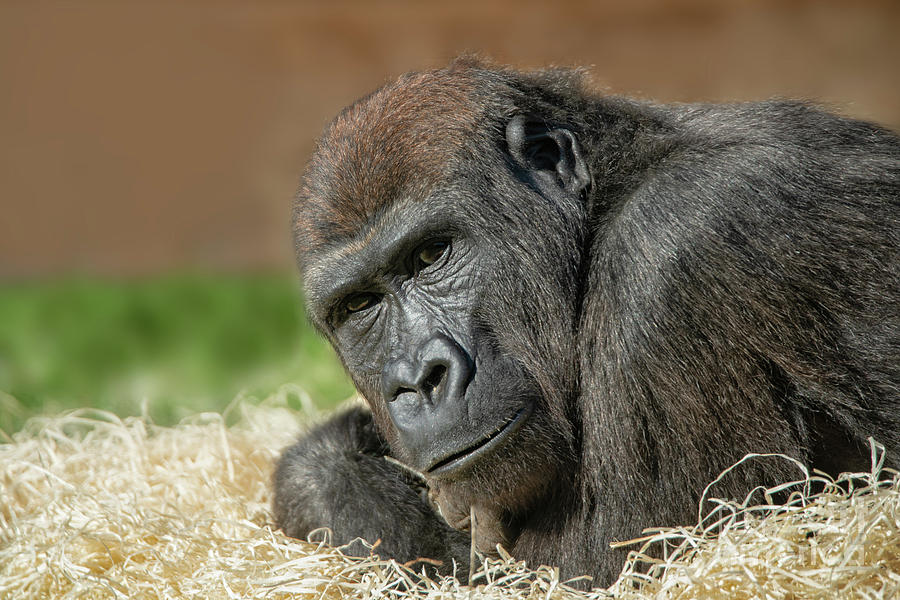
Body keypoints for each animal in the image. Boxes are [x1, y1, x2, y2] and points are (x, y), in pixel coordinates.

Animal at [272, 57, 900, 584]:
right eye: (359, 306)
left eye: (431, 255)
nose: (417, 380)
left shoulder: (675, 255)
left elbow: (594, 571)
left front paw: (326, 479)